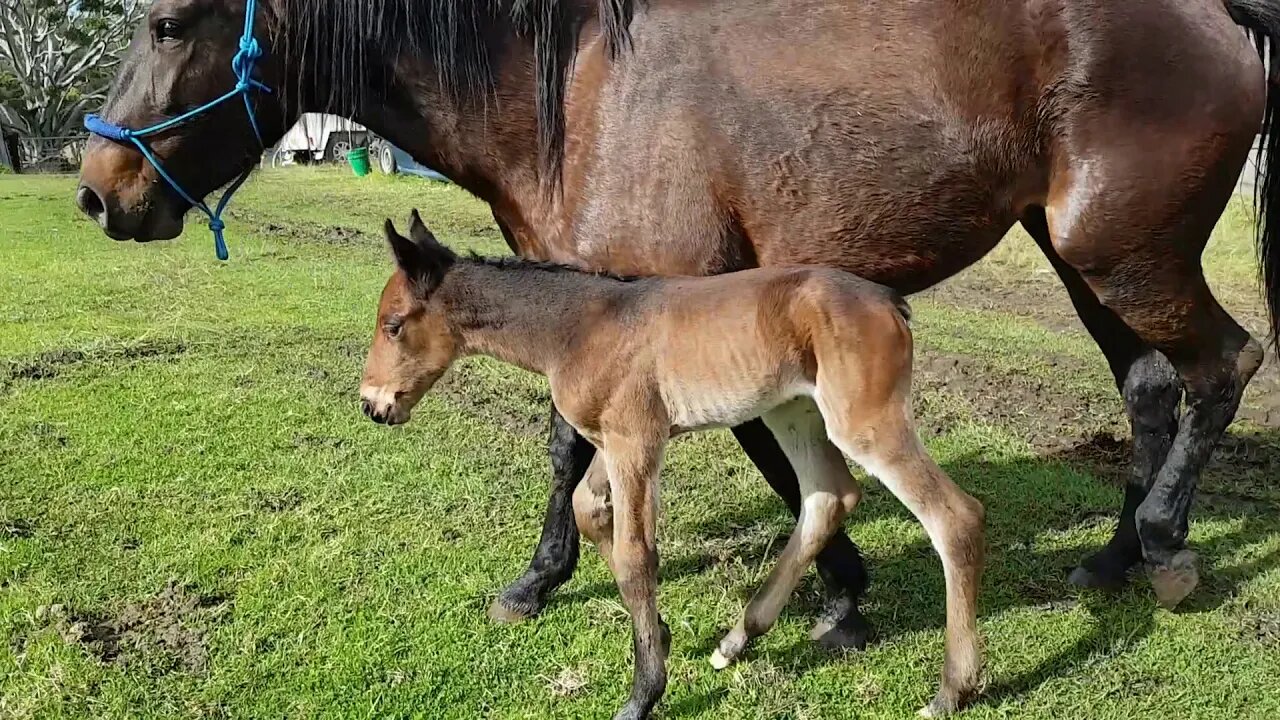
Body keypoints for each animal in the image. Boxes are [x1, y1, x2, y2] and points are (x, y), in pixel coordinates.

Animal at [360, 211, 988, 717]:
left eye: (393, 325)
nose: (372, 404)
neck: (581, 326)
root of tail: (889, 301)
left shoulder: (635, 440)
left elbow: (637, 557)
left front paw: (643, 694)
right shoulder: (617, 442)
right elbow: (589, 510)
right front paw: (659, 635)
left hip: (864, 422)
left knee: (954, 517)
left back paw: (951, 690)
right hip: (794, 413)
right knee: (828, 496)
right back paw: (737, 639)